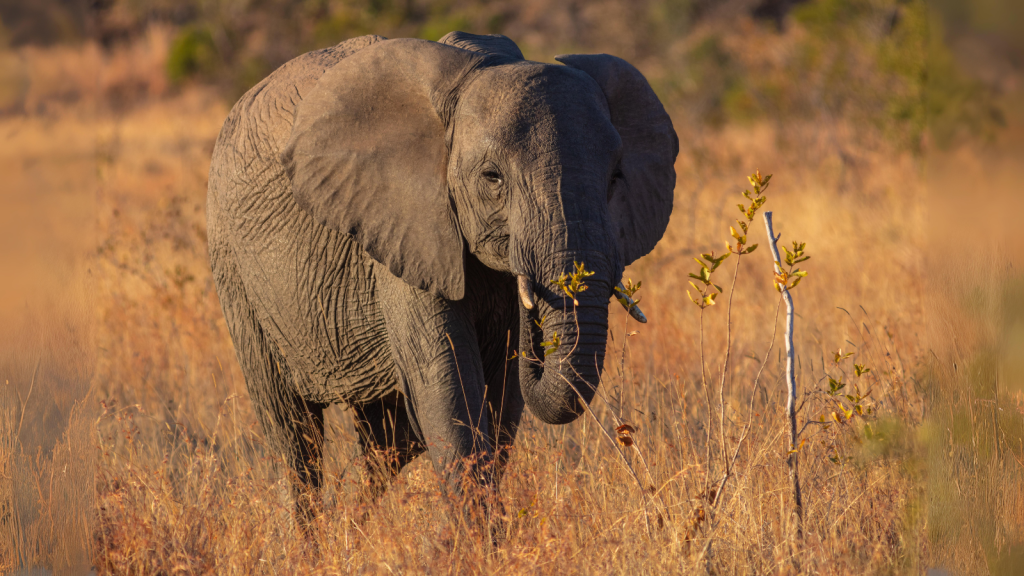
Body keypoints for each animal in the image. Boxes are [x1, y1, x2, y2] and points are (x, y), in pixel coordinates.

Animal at [203, 30, 675, 524]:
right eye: (492, 177)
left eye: (616, 177)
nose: (537, 326)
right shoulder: (405, 225)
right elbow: (447, 383)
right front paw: (479, 539)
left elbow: (500, 397)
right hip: (233, 267)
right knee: (293, 432)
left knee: (387, 444)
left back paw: (353, 521)